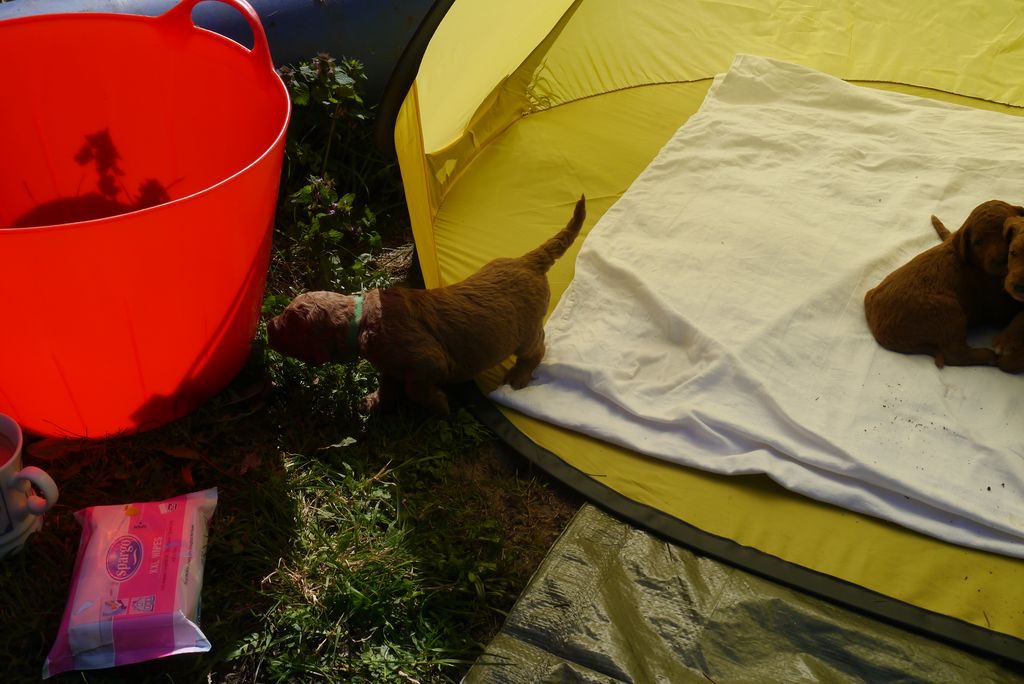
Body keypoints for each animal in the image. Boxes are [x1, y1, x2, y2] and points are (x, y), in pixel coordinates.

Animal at [268, 195, 587, 416]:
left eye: (290, 324)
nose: (268, 326)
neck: (363, 320)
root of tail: (529, 261)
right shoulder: (390, 366)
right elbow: (388, 385)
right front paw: (374, 403)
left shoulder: (427, 360)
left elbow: (416, 389)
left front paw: (439, 407)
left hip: (526, 332)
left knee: (537, 349)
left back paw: (519, 376)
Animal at [863, 200, 1024, 367]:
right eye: (978, 242)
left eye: (1006, 234)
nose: (1002, 259)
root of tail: (878, 330)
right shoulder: (995, 300)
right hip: (949, 311)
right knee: (954, 353)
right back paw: (988, 355)